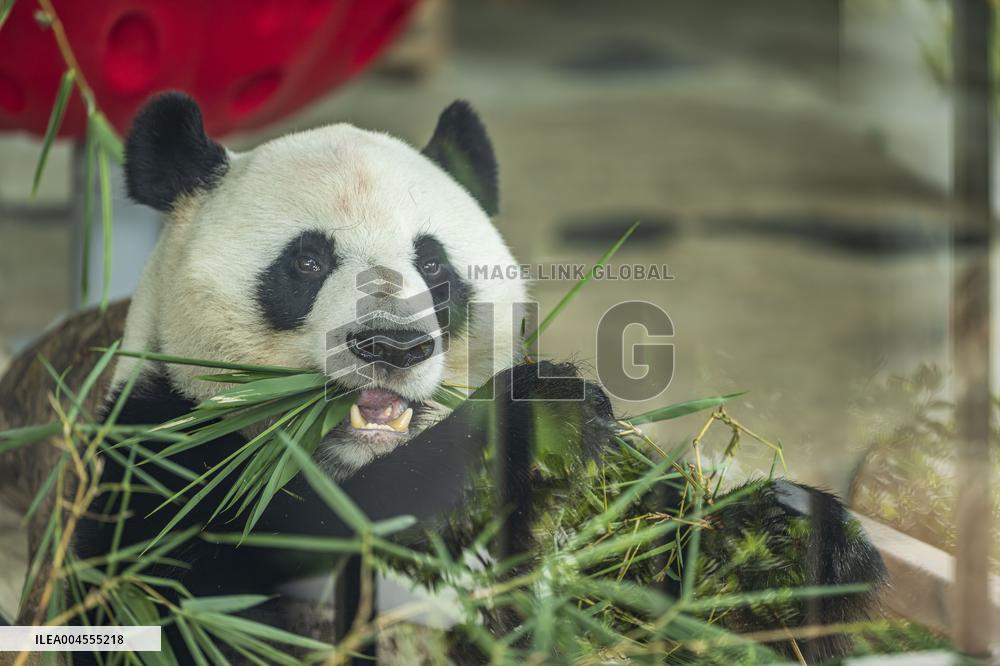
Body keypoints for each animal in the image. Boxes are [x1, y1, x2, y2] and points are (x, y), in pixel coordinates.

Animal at [73, 92, 884, 663]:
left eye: (433, 266)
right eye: (306, 261)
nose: (392, 343)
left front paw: (793, 535)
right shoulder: (160, 457)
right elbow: (192, 598)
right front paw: (539, 416)